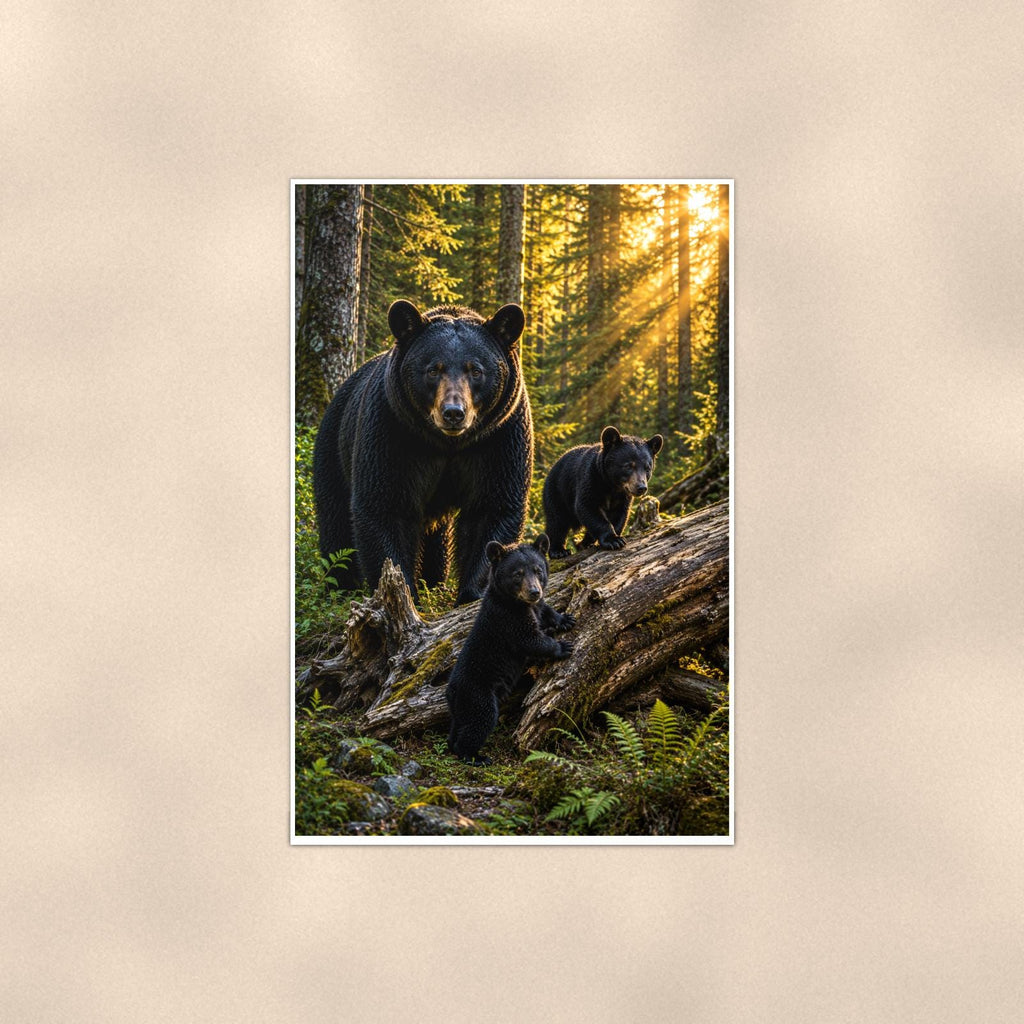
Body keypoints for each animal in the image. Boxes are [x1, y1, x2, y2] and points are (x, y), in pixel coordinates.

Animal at [312, 300, 533, 605]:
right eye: (433, 369)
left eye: (475, 370)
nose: (453, 412)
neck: (447, 443)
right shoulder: (392, 430)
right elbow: (384, 505)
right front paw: (404, 594)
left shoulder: (499, 438)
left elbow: (492, 508)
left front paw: (472, 592)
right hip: (334, 449)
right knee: (336, 523)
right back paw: (341, 587)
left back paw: (434, 580)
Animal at [446, 535, 574, 764]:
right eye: (518, 573)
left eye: (538, 570)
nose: (534, 591)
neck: (516, 602)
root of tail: (451, 692)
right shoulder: (508, 619)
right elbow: (530, 640)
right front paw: (562, 646)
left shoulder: (533, 608)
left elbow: (545, 611)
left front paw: (564, 619)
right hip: (478, 695)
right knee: (480, 721)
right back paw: (474, 756)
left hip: (461, 707)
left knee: (459, 725)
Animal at [542, 426, 664, 559]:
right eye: (628, 466)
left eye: (647, 468)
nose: (641, 487)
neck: (611, 486)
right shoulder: (589, 480)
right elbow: (587, 506)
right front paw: (613, 540)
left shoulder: (623, 496)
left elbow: (619, 514)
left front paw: (615, 536)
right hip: (557, 491)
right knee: (557, 521)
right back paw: (558, 550)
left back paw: (584, 543)